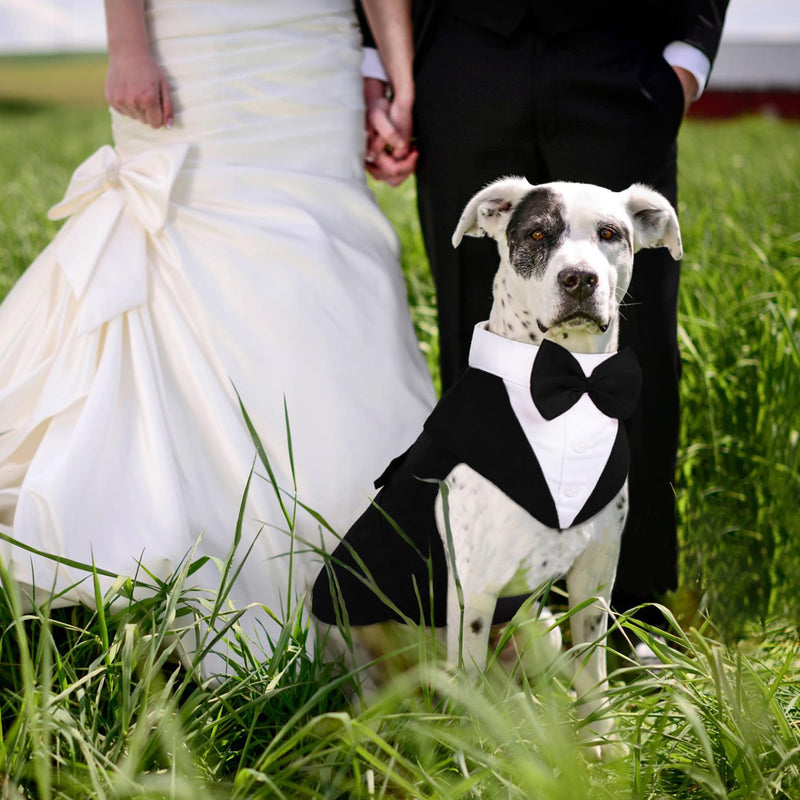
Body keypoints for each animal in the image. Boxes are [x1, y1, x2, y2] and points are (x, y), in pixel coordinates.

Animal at [312, 178, 680, 760]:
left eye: (609, 234)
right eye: (537, 234)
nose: (580, 279)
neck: (569, 384)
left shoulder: (595, 571)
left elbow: (592, 666)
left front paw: (601, 741)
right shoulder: (476, 587)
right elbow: (467, 681)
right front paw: (474, 762)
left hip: (539, 625)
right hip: (352, 643)